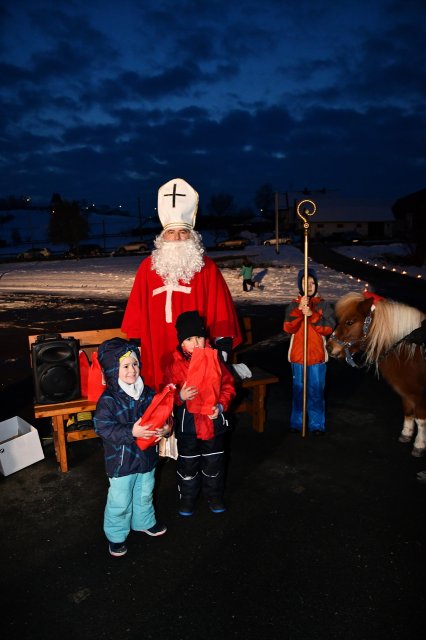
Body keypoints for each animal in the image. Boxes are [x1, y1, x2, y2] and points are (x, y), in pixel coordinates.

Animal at [328, 292, 426, 458]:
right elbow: (408, 412)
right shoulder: (406, 392)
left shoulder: (420, 396)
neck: (413, 351)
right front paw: (406, 434)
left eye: (350, 322)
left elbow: (421, 421)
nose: (329, 347)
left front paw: (419, 445)